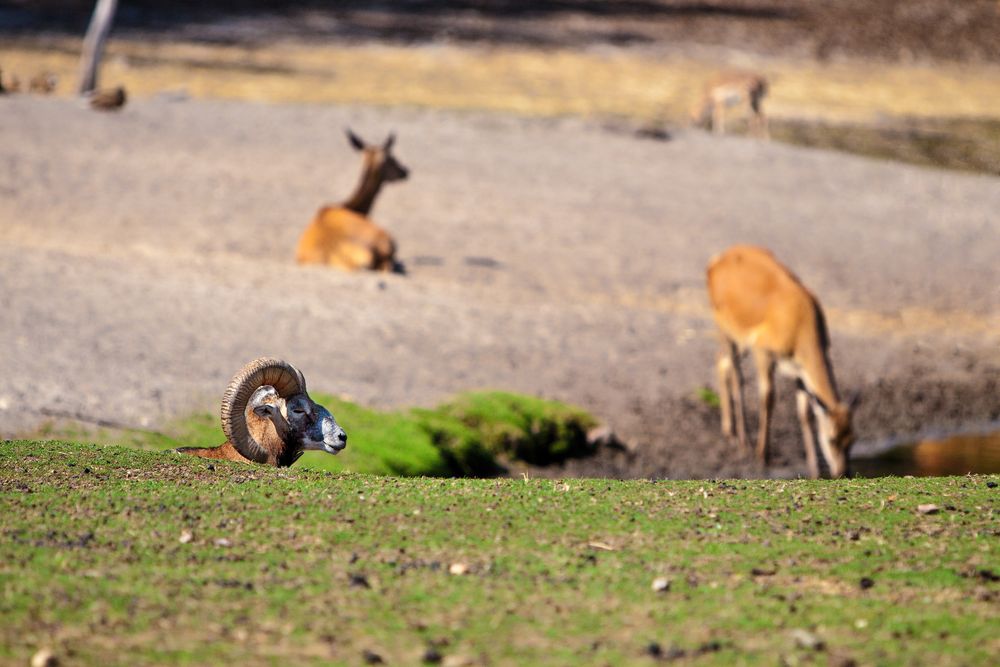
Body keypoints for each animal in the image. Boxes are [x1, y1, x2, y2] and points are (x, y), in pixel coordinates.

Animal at [704, 245, 860, 480]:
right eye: (831, 438)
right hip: (726, 328)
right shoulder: (764, 351)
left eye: (852, 438)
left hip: (739, 339)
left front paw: (814, 469)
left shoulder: (799, 371)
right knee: (735, 374)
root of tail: (715, 262)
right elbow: (767, 398)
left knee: (721, 363)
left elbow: (805, 414)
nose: (843, 472)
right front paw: (762, 456)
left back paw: (729, 432)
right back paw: (742, 441)